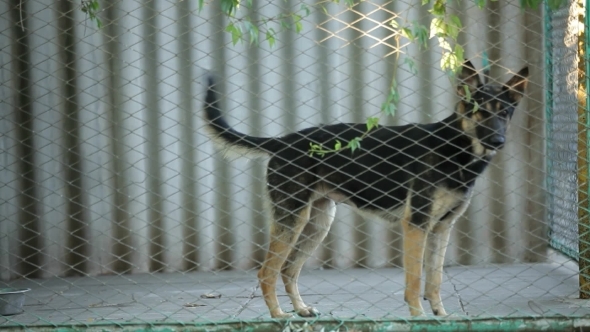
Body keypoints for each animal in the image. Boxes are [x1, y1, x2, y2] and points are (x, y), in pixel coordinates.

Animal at [205, 61, 532, 318]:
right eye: (480, 112)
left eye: (505, 112)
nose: (498, 141)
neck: (454, 148)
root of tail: (283, 141)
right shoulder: (416, 226)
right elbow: (415, 281)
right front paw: (419, 316)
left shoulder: (441, 229)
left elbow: (435, 279)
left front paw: (441, 315)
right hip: (292, 221)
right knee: (267, 272)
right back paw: (277, 315)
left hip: (316, 224)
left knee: (288, 270)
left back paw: (300, 310)